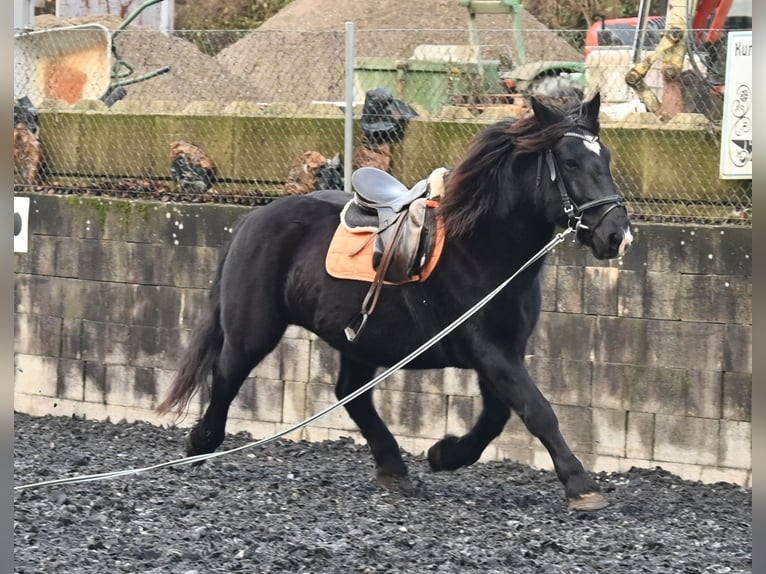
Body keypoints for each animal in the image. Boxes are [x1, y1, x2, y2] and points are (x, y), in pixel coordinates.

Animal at [159, 94, 632, 512]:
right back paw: (201, 443)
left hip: (358, 339)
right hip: (254, 330)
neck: (481, 244)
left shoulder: (500, 351)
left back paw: (394, 469)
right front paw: (581, 485)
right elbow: (537, 410)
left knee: (350, 395)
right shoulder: (490, 350)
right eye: (570, 163)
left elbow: (499, 414)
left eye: (606, 158)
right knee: (226, 374)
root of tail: (250, 220)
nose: (617, 235)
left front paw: (445, 453)